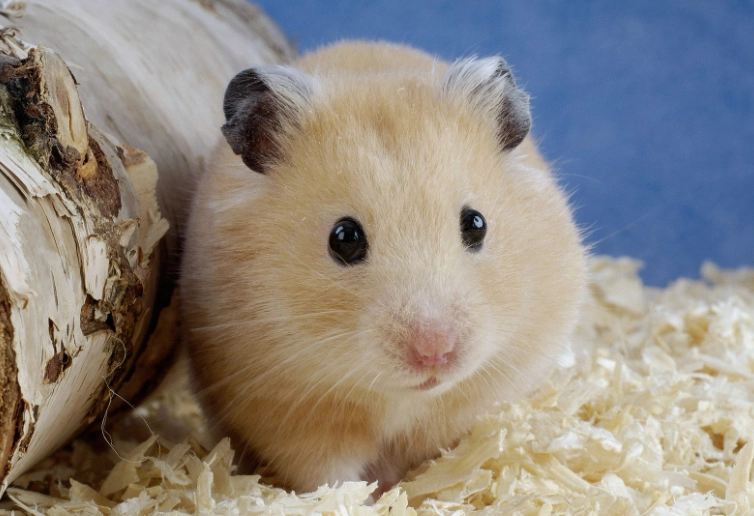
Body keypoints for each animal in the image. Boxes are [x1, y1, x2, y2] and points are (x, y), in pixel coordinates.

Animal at [180, 41, 587, 494]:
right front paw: (366, 498)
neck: (401, 397)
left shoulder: (478, 396)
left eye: (476, 224)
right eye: (344, 238)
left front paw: (411, 488)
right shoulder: (288, 411)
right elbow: (328, 474)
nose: (435, 352)